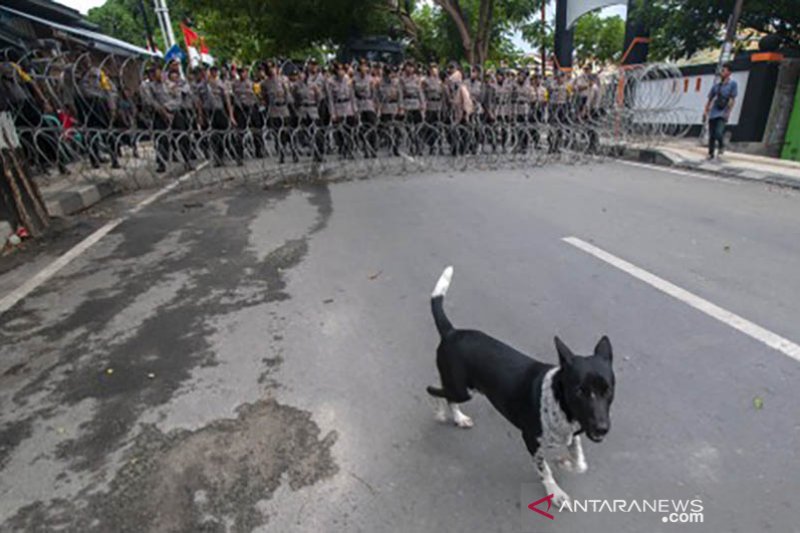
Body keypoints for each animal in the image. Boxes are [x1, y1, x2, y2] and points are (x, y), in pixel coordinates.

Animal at [428, 268, 616, 504]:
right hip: (462, 390)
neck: (559, 401)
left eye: (607, 390)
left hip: (460, 388)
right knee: (435, 390)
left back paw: (458, 418)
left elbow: (580, 463)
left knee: (445, 393)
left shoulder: (573, 435)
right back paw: (442, 413)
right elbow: (545, 469)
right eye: (580, 391)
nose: (602, 428)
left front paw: (565, 462)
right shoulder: (530, 440)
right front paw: (555, 492)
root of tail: (452, 332)